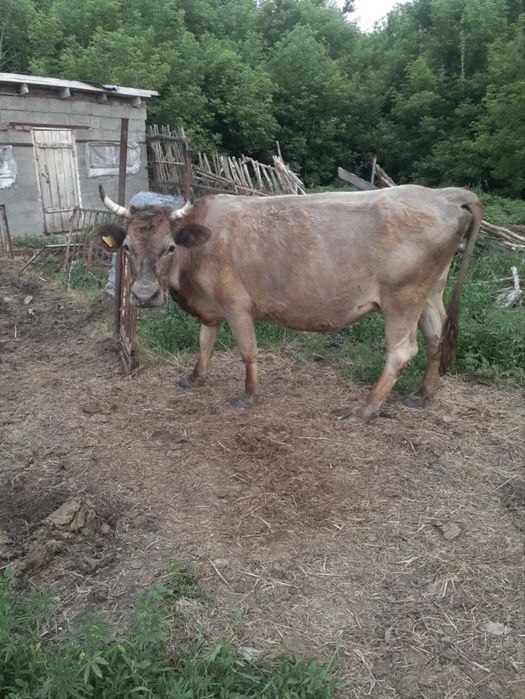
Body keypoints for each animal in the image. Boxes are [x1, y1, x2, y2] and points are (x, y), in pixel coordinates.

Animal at [93, 184, 482, 421]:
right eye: (127, 247)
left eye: (170, 247)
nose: (144, 295)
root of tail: (443, 195)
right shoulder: (210, 309)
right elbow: (204, 341)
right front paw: (195, 377)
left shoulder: (237, 304)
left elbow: (247, 351)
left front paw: (248, 395)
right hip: (429, 292)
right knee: (436, 337)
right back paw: (423, 393)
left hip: (403, 298)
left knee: (402, 351)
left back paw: (365, 408)